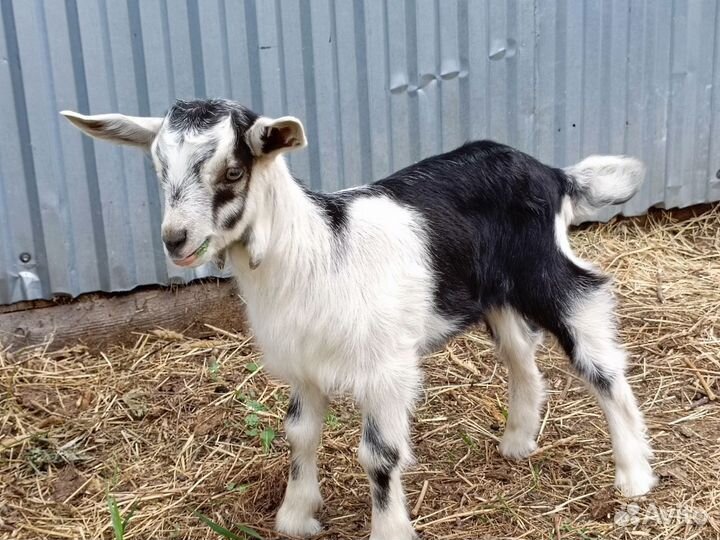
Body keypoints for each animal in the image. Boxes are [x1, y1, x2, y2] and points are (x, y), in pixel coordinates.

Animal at [62, 99, 656, 540]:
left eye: (232, 169)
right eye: (159, 169)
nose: (176, 240)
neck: (319, 249)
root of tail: (552, 173)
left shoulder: (387, 370)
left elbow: (380, 456)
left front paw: (388, 530)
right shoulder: (304, 366)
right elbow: (299, 434)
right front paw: (296, 516)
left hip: (546, 271)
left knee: (598, 352)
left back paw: (634, 473)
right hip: (495, 294)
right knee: (521, 357)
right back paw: (517, 442)